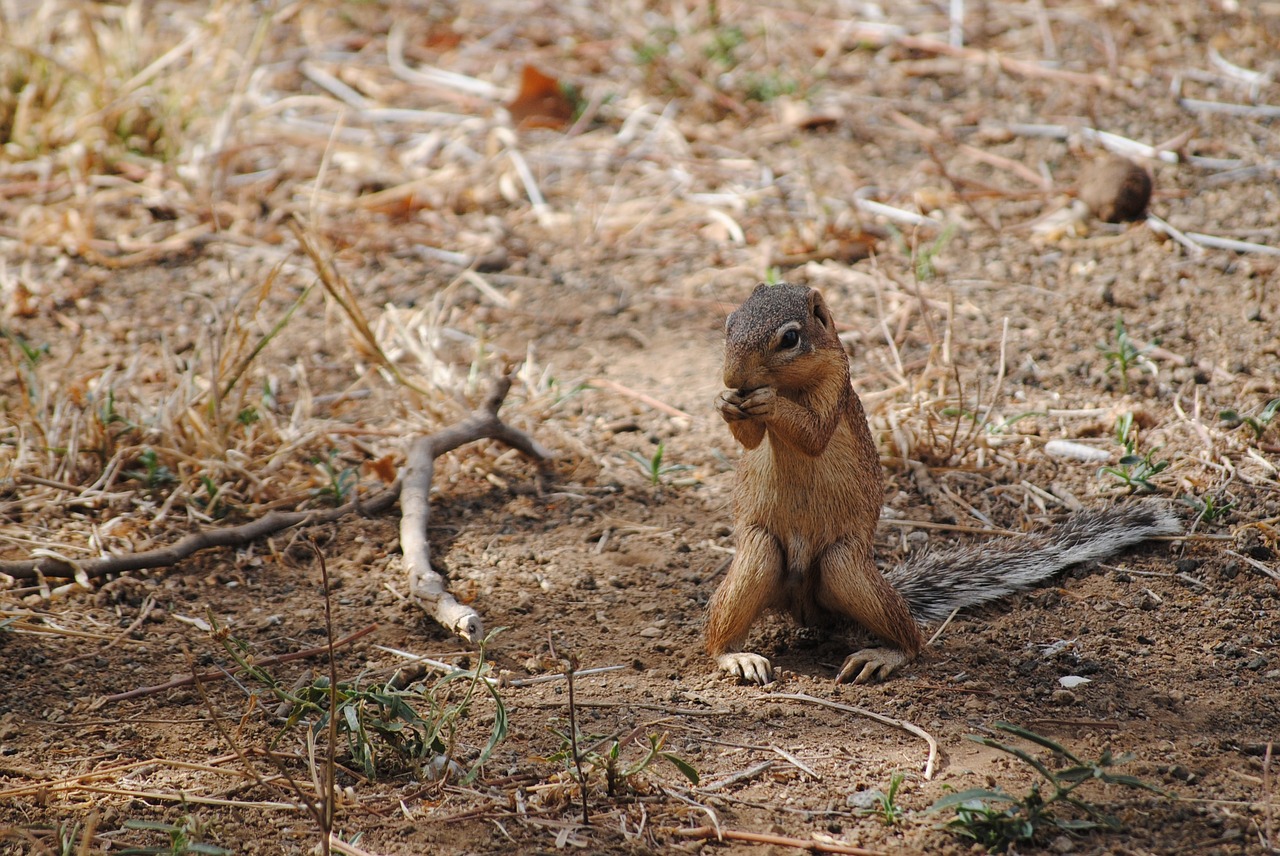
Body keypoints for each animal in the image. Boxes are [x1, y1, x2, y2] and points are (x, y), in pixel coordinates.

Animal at [711, 284, 1177, 685]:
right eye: (729, 322)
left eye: (790, 338)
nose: (733, 379)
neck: (790, 383)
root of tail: (808, 608)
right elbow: (750, 441)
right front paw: (725, 403)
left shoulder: (835, 386)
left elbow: (812, 432)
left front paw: (768, 402)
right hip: (758, 555)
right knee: (716, 636)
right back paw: (739, 657)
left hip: (844, 567)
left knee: (913, 640)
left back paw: (881, 656)